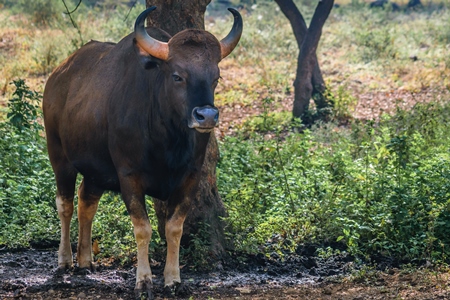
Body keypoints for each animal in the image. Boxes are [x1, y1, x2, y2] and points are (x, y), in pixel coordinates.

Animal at [42, 5, 243, 296]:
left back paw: (85, 260)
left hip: (96, 170)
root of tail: (57, 77)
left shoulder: (190, 177)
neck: (167, 138)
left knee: (86, 202)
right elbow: (143, 229)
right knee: (65, 205)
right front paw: (144, 280)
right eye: (177, 76)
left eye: (216, 78)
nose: (206, 116)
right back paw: (65, 259)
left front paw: (173, 279)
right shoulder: (129, 176)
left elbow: (174, 228)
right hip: (59, 157)